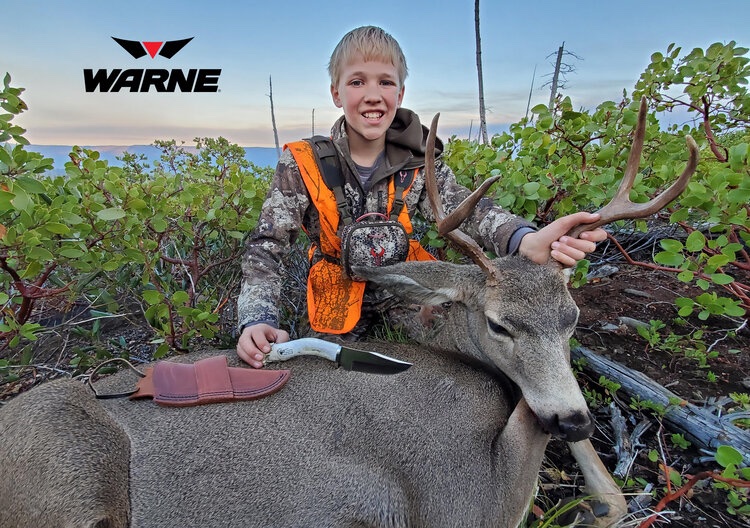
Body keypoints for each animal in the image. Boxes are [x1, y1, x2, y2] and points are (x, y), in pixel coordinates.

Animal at [0, 97, 697, 528]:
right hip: (73, 470)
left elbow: (612, 493)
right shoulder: (456, 498)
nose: (576, 417)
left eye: (572, 318)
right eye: (500, 323)